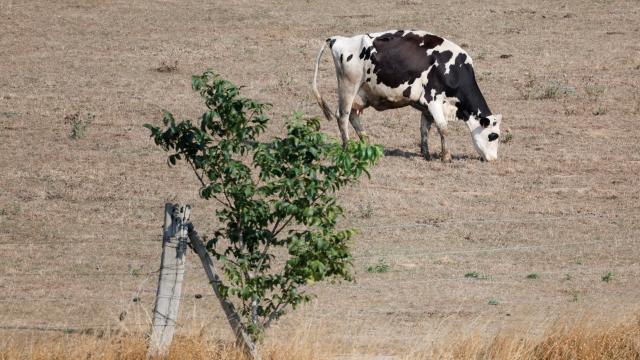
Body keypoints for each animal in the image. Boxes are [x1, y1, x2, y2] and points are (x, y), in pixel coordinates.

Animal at [312, 29, 502, 162]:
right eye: (493, 136)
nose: (493, 159)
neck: (452, 68)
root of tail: (338, 39)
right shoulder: (434, 99)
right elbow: (443, 128)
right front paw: (446, 157)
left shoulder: (426, 106)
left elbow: (425, 128)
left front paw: (426, 154)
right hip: (348, 87)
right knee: (342, 116)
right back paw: (347, 148)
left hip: (361, 94)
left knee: (353, 115)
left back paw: (366, 143)